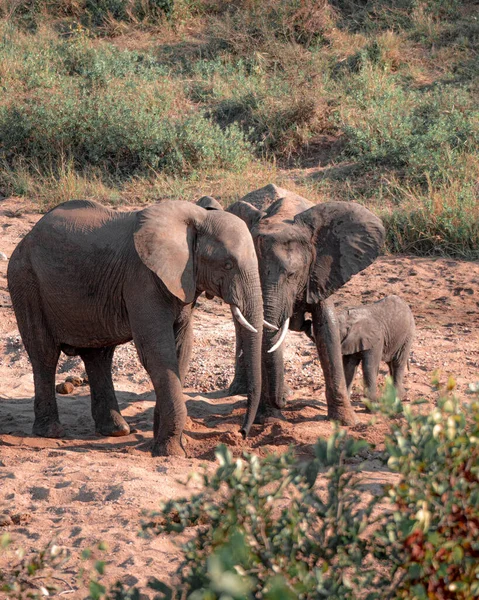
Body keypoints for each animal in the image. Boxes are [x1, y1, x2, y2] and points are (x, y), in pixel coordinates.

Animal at [6, 199, 262, 458]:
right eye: (228, 265)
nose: (241, 433)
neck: (197, 218)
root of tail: (27, 235)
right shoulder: (143, 280)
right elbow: (157, 354)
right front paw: (170, 452)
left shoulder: (183, 283)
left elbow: (181, 351)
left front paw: (163, 442)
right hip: (25, 280)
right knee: (45, 355)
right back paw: (51, 432)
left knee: (99, 357)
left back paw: (116, 430)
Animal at [226, 185, 386, 424]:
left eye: (292, 275)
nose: (283, 401)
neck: (281, 217)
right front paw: (268, 419)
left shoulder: (322, 269)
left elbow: (326, 328)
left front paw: (346, 422)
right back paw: (243, 390)